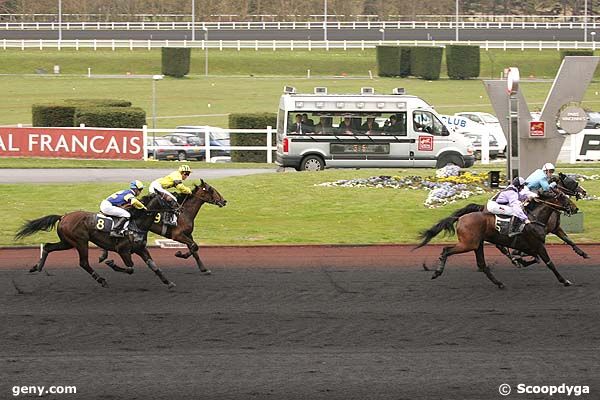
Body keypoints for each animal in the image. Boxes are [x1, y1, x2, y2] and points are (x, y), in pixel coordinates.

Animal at [14, 194, 176, 288]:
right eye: (169, 199)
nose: (178, 208)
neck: (136, 223)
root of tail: (63, 216)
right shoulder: (123, 250)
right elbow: (130, 268)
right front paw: (111, 263)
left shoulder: (141, 249)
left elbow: (153, 266)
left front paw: (168, 282)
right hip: (80, 242)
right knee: (84, 263)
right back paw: (101, 280)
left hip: (67, 242)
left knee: (48, 247)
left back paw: (37, 267)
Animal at [414, 190, 580, 288]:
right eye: (564, 198)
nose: (575, 208)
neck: (534, 218)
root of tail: (460, 218)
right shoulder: (538, 245)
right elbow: (549, 263)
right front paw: (564, 280)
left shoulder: (528, 247)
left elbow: (533, 258)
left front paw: (519, 261)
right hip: (468, 244)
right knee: (446, 250)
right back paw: (437, 272)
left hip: (477, 245)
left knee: (482, 265)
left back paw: (499, 283)